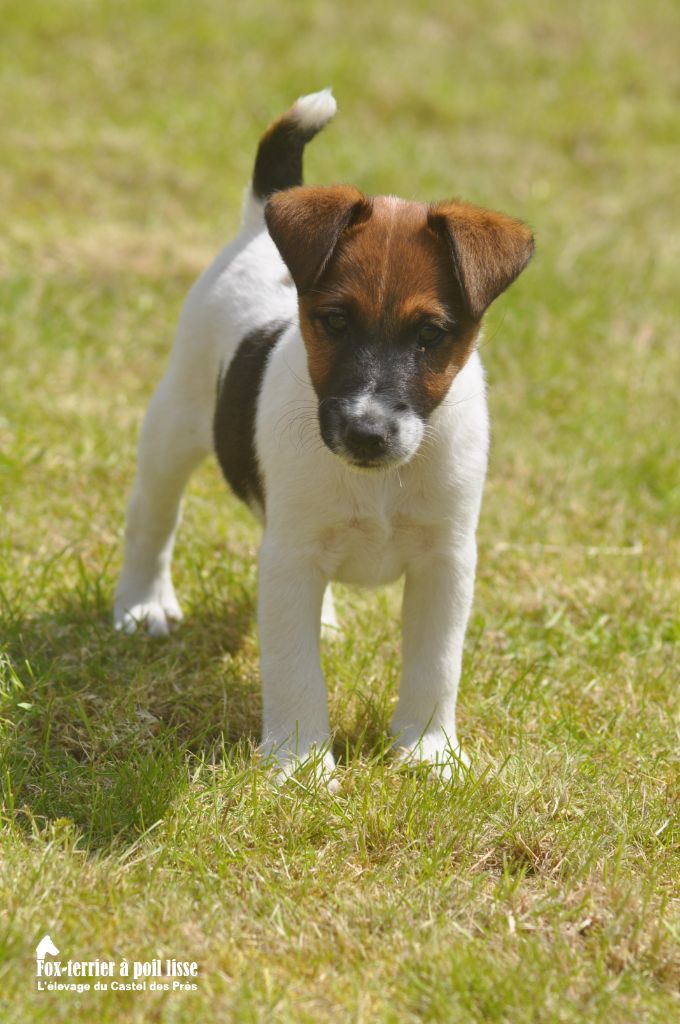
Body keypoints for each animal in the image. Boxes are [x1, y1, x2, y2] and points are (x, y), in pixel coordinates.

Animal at [114, 92, 532, 782]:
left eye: (430, 335)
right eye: (333, 321)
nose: (366, 432)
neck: (381, 481)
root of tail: (261, 225)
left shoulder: (447, 558)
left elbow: (436, 663)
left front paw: (429, 752)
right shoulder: (290, 559)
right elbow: (293, 671)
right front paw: (301, 765)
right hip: (174, 422)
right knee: (153, 516)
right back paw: (142, 604)